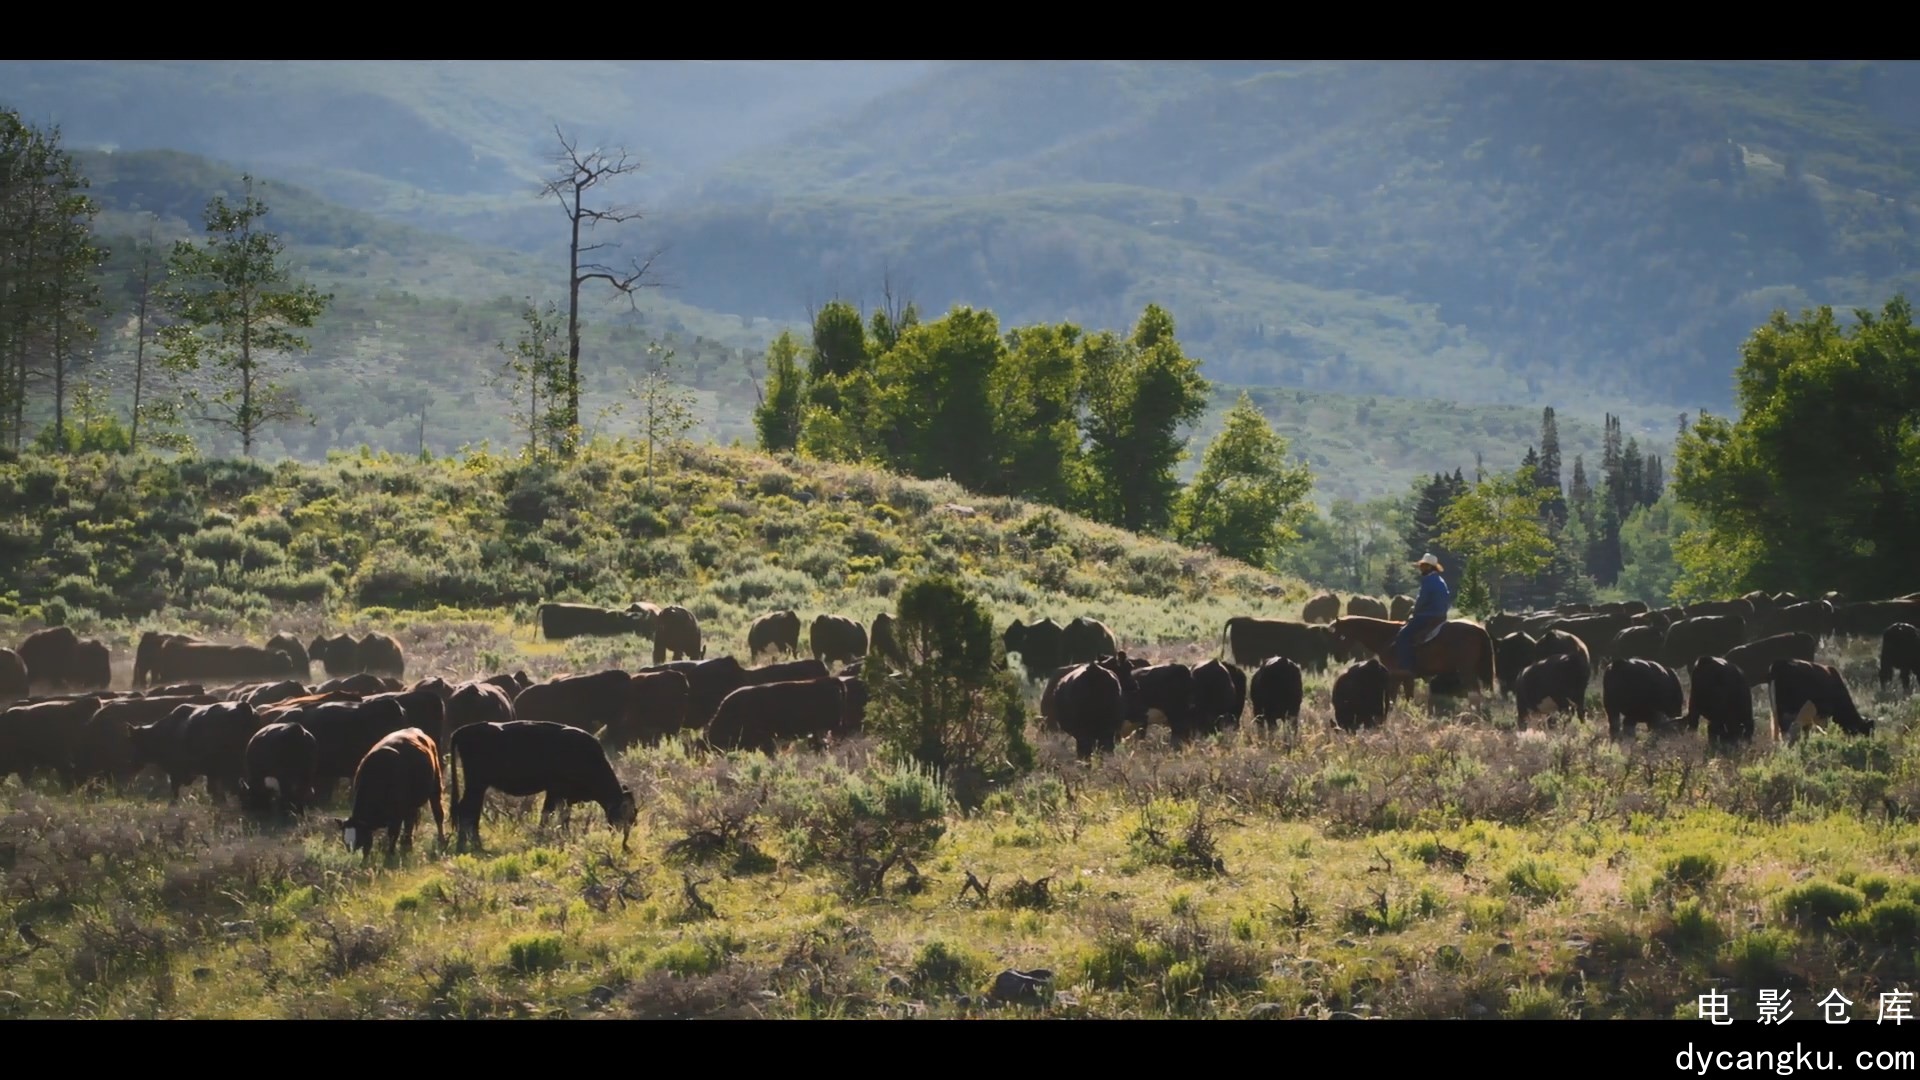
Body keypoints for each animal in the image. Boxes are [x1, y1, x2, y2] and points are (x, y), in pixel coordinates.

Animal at [1328, 611, 1489, 703]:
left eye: (1340, 636)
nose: (1337, 657)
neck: (1388, 637)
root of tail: (1479, 628)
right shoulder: (1406, 677)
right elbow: (1407, 697)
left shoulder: (1395, 675)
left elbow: (1394, 698)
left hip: (1467, 671)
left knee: (1475, 694)